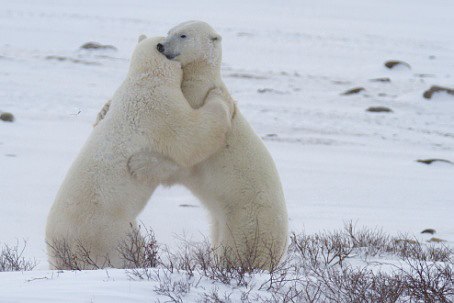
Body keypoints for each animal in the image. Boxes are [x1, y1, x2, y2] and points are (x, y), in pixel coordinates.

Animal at [46, 35, 234, 270]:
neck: (145, 78)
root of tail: (62, 246)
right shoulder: (158, 107)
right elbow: (191, 136)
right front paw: (217, 98)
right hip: (108, 232)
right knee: (126, 249)